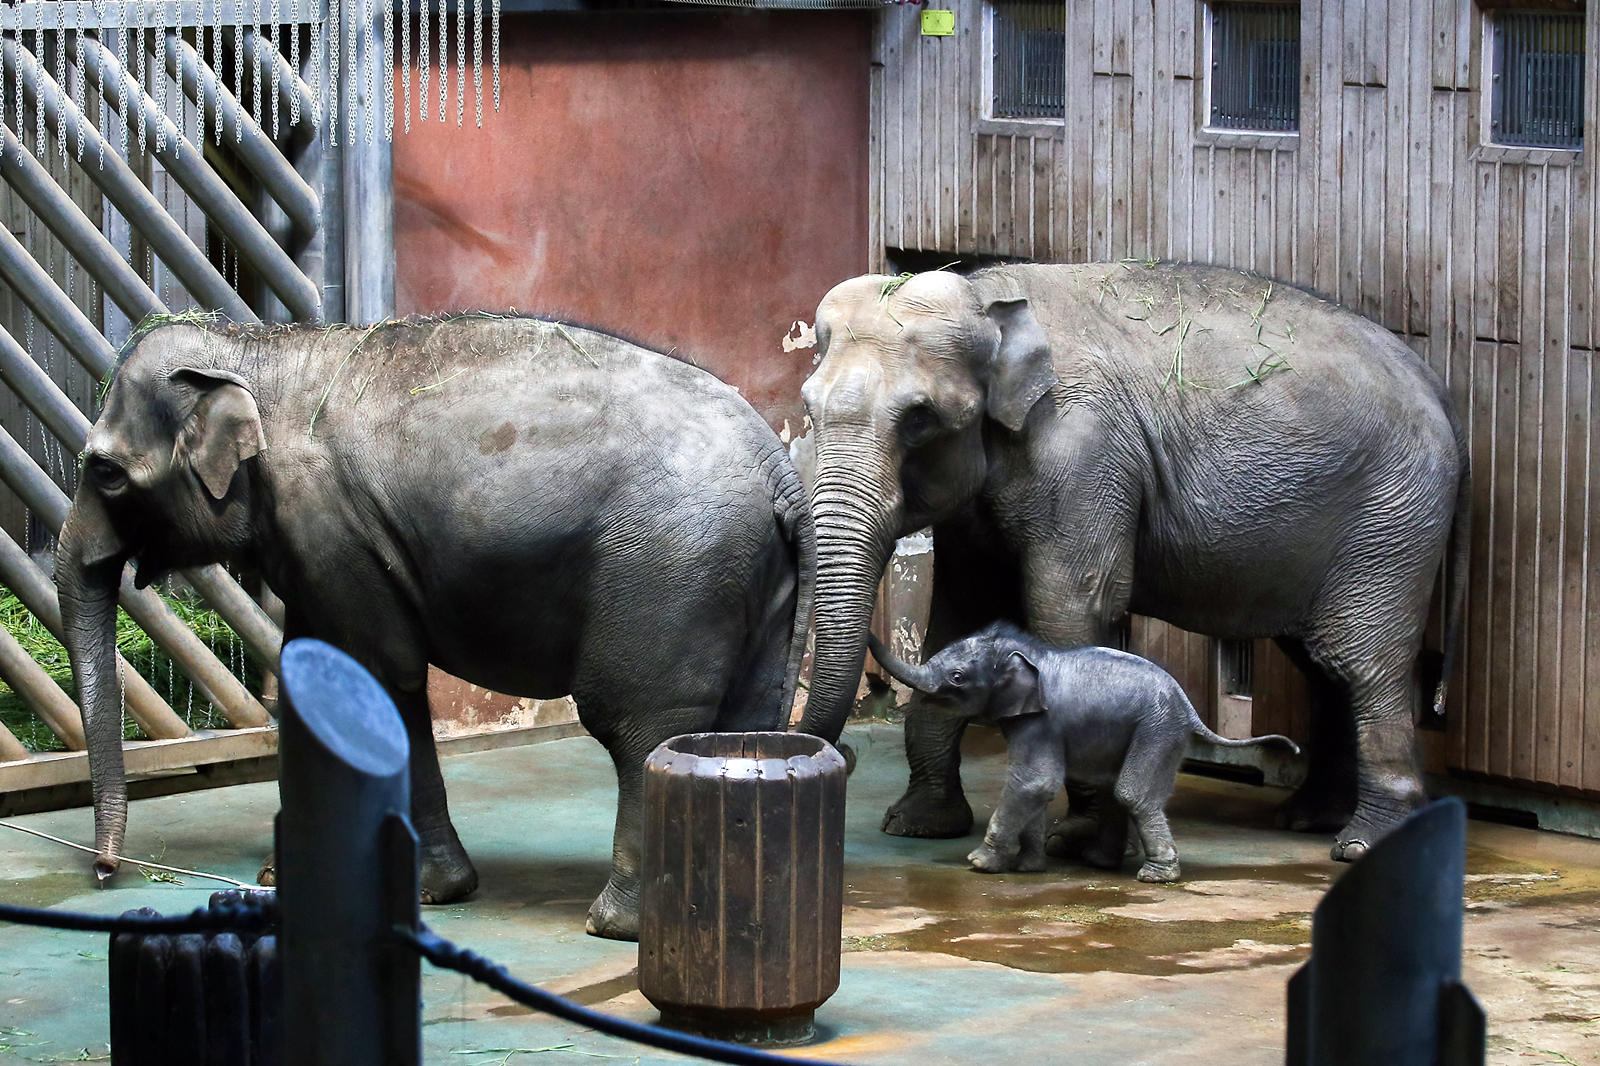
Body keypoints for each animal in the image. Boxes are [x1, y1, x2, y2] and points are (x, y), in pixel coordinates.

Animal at [60, 312, 812, 934]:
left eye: (107, 472)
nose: (105, 871)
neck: (259, 348)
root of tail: (779, 471)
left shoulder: (329, 525)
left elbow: (381, 674)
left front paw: (429, 889)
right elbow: (316, 673)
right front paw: (291, 875)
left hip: (668, 567)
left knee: (638, 722)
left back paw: (618, 923)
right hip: (757, 578)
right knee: (742, 723)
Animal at [870, 624, 1292, 877]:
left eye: (957, 678)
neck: (1025, 652)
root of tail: (1189, 708)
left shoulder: (1042, 722)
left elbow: (1035, 782)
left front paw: (980, 863)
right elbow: (1036, 788)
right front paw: (1028, 867)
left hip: (1158, 729)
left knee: (1131, 792)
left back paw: (1155, 876)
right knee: (1115, 790)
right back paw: (1098, 861)